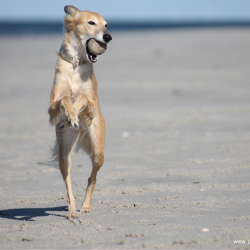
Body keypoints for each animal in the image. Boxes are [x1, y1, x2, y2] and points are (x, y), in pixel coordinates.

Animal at [47, 4, 112, 218]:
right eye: (91, 22)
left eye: (106, 25)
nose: (108, 37)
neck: (76, 65)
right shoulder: (52, 108)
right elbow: (65, 98)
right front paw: (70, 115)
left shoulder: (91, 105)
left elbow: (82, 98)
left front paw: (74, 113)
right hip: (65, 152)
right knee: (68, 183)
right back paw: (73, 211)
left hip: (98, 150)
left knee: (93, 178)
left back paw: (85, 206)